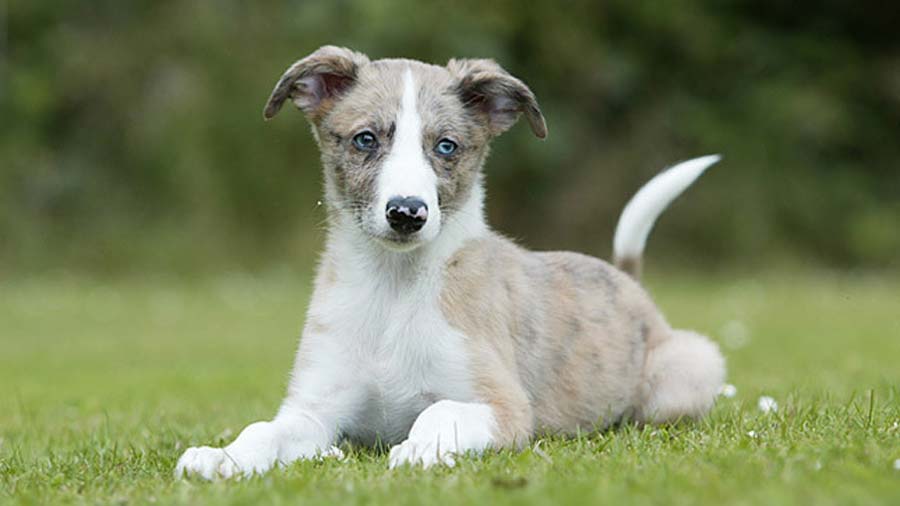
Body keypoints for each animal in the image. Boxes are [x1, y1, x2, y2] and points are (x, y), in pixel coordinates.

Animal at [174, 46, 724, 478]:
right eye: (365, 139)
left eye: (446, 146)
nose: (406, 213)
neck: (394, 290)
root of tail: (630, 283)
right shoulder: (313, 408)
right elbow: (263, 429)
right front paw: (222, 457)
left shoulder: (503, 405)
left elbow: (437, 414)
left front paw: (418, 449)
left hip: (682, 375)